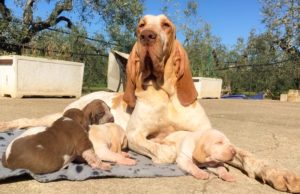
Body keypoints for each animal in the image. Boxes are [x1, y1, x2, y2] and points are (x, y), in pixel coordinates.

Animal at [0, 14, 298, 192]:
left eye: (166, 25)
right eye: (140, 25)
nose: (147, 36)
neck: (165, 93)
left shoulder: (212, 136)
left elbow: (246, 154)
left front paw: (279, 173)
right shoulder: (135, 135)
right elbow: (163, 150)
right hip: (57, 117)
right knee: (28, 121)